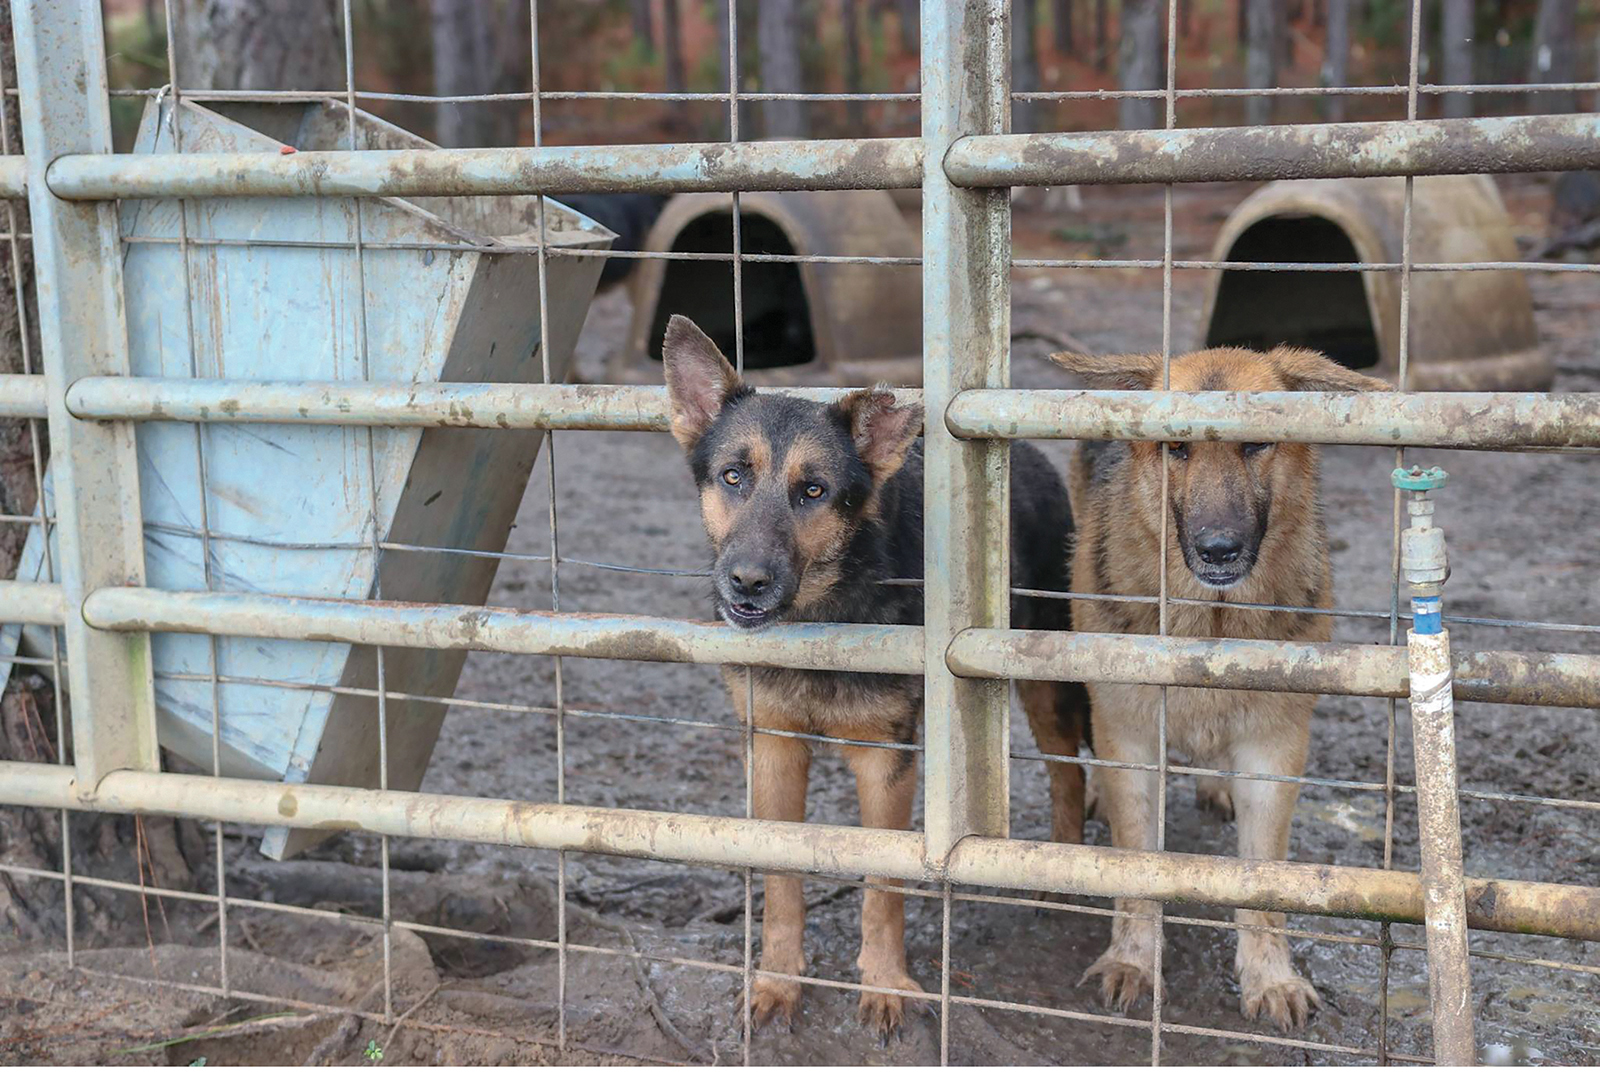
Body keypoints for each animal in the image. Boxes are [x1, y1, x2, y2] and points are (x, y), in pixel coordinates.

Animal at [662, 314, 1088, 1036]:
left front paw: (885, 982)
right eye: (732, 476)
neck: (821, 619)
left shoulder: (886, 760)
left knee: (1070, 772)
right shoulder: (774, 746)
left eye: (814, 491)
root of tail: (1029, 452)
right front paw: (778, 979)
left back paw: (1061, 871)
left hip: (1044, 683)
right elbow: (781, 877)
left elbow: (882, 881)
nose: (746, 583)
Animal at [1049, 348, 1388, 1036]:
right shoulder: (1129, 737)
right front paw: (1133, 960)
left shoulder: (1274, 749)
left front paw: (1270, 976)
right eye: (1176, 448)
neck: (1210, 624)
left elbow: (1261, 879)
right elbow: (1138, 866)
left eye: (1256, 443)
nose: (1218, 550)